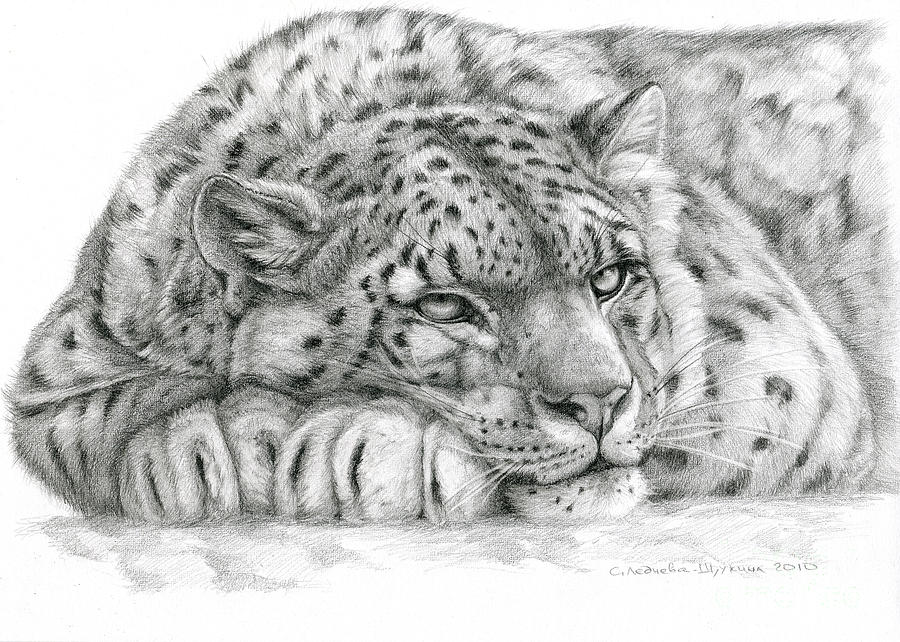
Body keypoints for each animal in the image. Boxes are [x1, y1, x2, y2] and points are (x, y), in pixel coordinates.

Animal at [6, 8, 893, 524]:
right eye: (445, 306)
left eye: (611, 278)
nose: (598, 404)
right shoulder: (66, 359)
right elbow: (100, 410)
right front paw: (199, 449)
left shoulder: (784, 378)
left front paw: (358, 443)